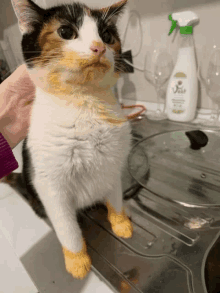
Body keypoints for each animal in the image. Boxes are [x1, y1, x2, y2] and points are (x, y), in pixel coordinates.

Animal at [3, 0, 133, 278]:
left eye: (108, 36)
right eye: (65, 32)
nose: (98, 47)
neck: (85, 102)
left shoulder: (112, 166)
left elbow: (115, 198)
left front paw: (120, 223)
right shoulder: (49, 185)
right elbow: (67, 229)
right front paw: (77, 261)